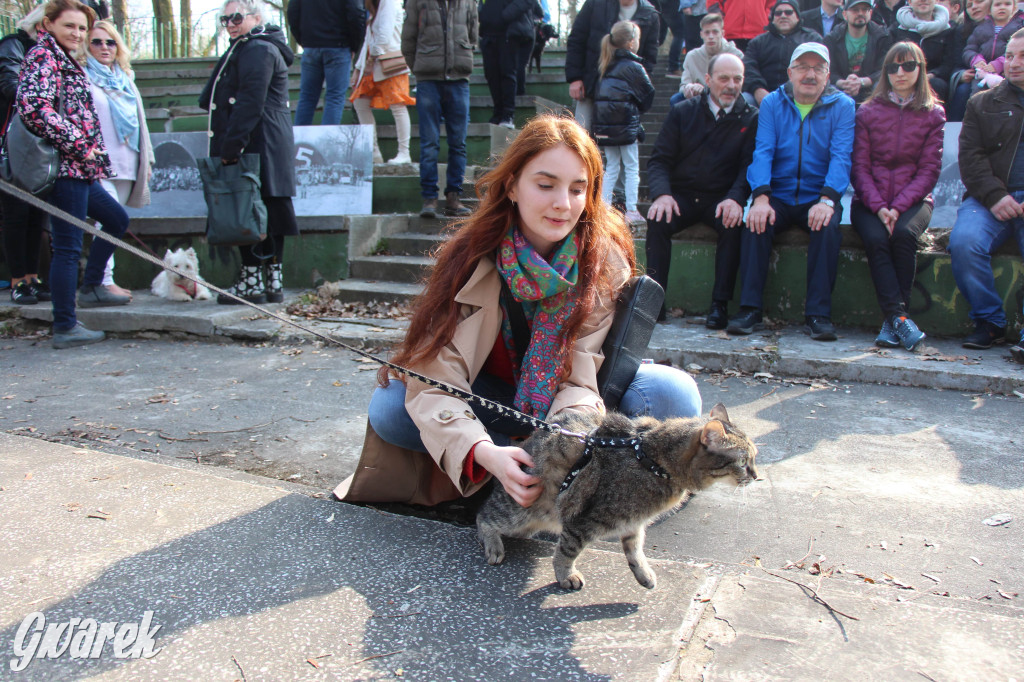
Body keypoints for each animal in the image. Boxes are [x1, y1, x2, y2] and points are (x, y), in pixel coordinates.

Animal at [475, 401, 757, 585]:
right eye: (744, 461)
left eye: (753, 458)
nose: (756, 476)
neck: (653, 460)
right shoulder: (584, 521)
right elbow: (567, 551)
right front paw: (566, 575)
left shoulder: (633, 522)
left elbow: (635, 550)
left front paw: (643, 573)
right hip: (521, 510)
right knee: (485, 516)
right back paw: (493, 544)